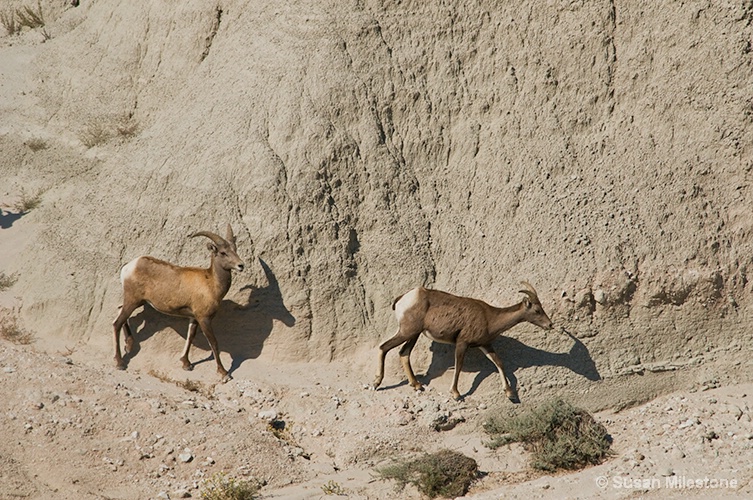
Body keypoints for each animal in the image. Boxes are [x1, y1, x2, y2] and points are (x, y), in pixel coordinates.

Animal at [111, 224, 244, 382]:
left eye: (235, 249)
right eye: (223, 252)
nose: (241, 265)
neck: (211, 283)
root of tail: (129, 267)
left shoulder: (194, 318)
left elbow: (190, 336)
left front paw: (186, 364)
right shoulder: (204, 319)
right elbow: (214, 343)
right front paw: (224, 374)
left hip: (137, 302)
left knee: (119, 310)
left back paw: (129, 345)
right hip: (133, 301)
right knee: (117, 323)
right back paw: (120, 363)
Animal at [372, 284, 552, 400]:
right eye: (537, 310)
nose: (550, 325)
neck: (489, 317)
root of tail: (403, 298)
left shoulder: (485, 345)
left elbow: (499, 362)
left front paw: (510, 393)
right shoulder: (462, 343)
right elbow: (458, 365)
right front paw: (456, 394)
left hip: (413, 335)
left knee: (404, 353)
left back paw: (416, 385)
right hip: (407, 332)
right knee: (383, 347)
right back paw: (376, 383)